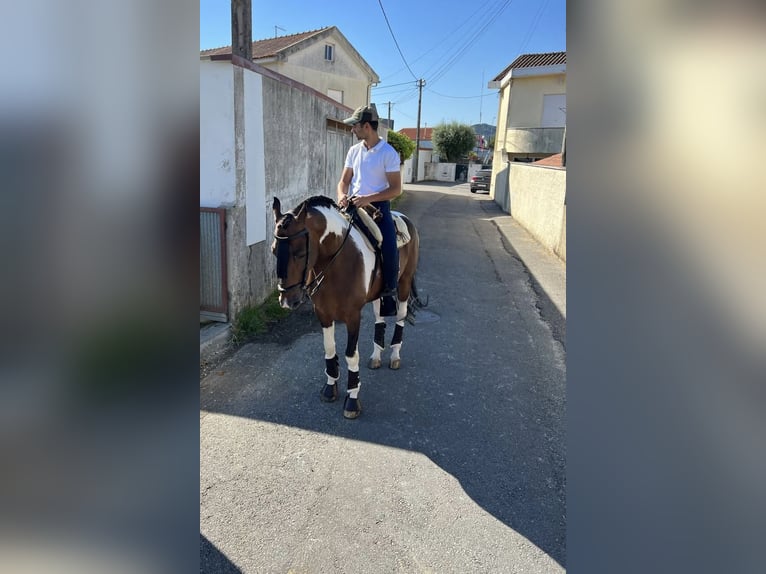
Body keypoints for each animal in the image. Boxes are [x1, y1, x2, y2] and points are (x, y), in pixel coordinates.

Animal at [271, 195, 422, 419]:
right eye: (273, 251)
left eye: (299, 253)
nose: (288, 301)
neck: (336, 262)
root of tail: (404, 218)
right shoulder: (323, 313)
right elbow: (329, 348)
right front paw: (330, 387)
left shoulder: (353, 316)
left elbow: (351, 355)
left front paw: (352, 399)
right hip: (378, 295)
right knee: (379, 319)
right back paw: (376, 356)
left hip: (403, 284)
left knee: (400, 318)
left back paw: (395, 355)